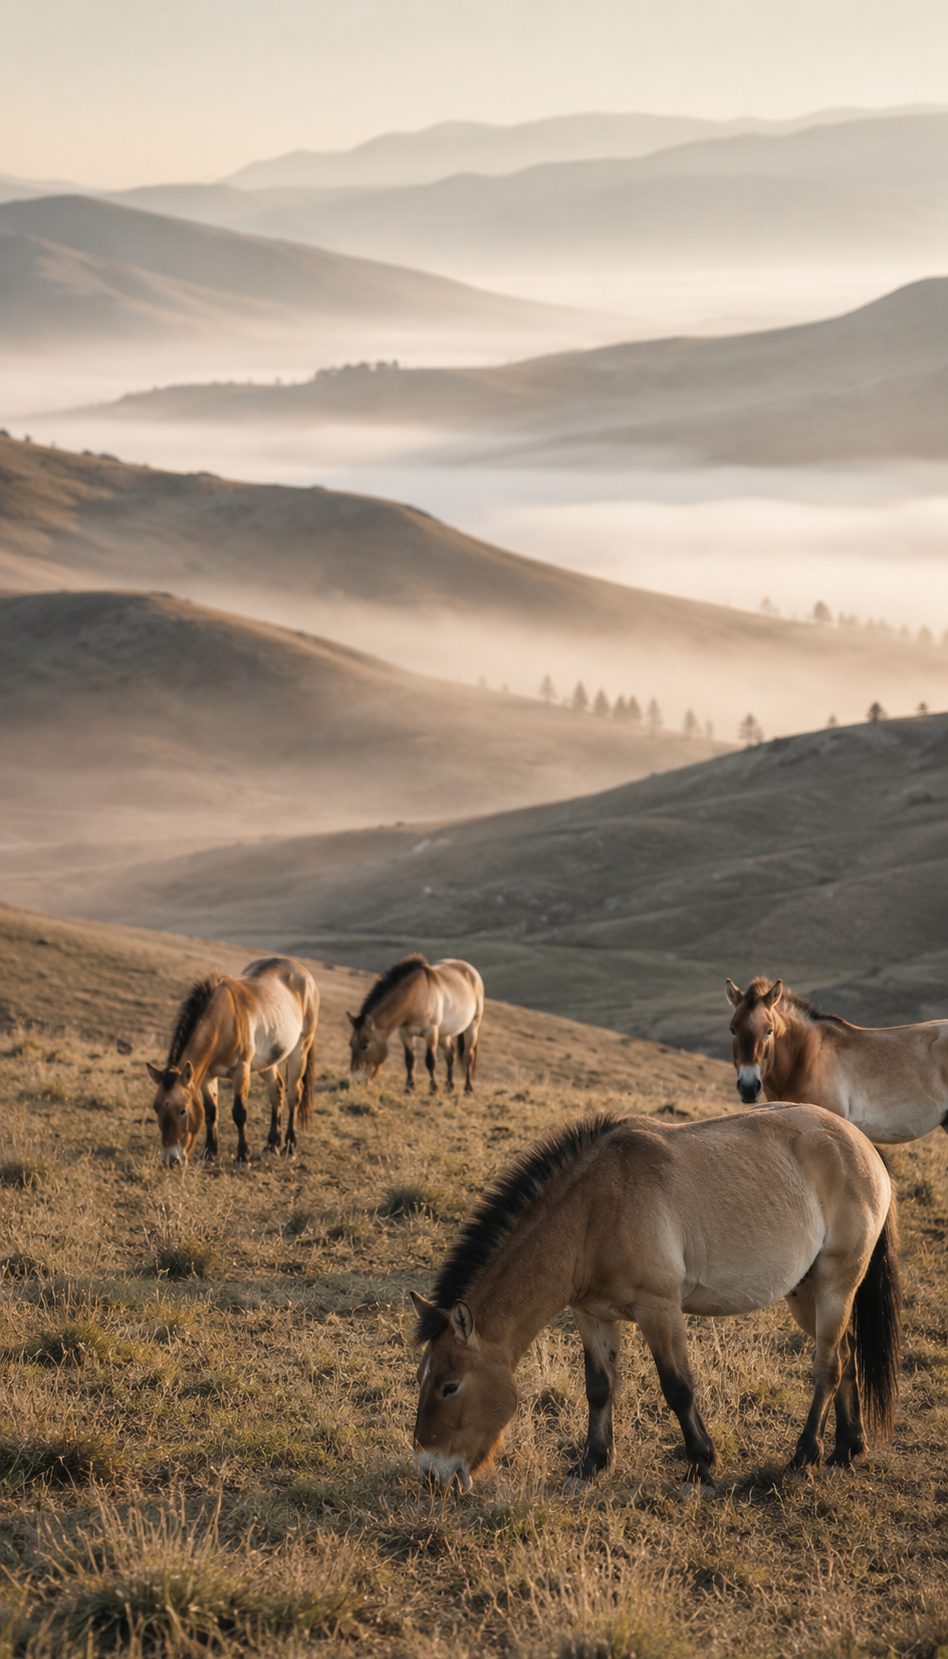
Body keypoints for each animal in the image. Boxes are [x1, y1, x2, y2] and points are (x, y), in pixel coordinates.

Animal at [147, 957, 319, 1166]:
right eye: (156, 1109)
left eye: (183, 1110)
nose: (170, 1160)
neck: (223, 1020)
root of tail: (304, 973)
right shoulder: (207, 1075)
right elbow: (211, 1112)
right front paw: (209, 1154)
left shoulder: (241, 1070)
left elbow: (239, 1113)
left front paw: (243, 1156)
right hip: (268, 1061)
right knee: (276, 1090)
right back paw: (272, 1146)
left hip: (300, 1050)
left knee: (294, 1094)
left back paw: (289, 1147)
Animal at [348, 955, 484, 1093]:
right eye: (351, 1044)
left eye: (365, 1046)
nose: (356, 1081)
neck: (416, 996)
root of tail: (471, 971)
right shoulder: (405, 1033)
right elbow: (410, 1060)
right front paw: (409, 1088)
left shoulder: (431, 1032)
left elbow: (430, 1061)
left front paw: (433, 1088)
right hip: (444, 1034)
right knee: (450, 1055)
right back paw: (449, 1087)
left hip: (472, 1028)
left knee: (468, 1057)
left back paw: (468, 1089)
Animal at [411, 1105, 900, 1491]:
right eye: (423, 1378)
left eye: (450, 1386)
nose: (431, 1473)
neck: (594, 1213)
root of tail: (861, 1145)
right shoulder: (591, 1316)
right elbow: (599, 1388)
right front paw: (591, 1464)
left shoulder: (659, 1309)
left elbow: (677, 1387)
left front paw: (701, 1464)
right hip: (806, 1294)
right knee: (846, 1354)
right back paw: (846, 1449)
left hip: (836, 1284)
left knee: (827, 1367)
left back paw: (806, 1454)